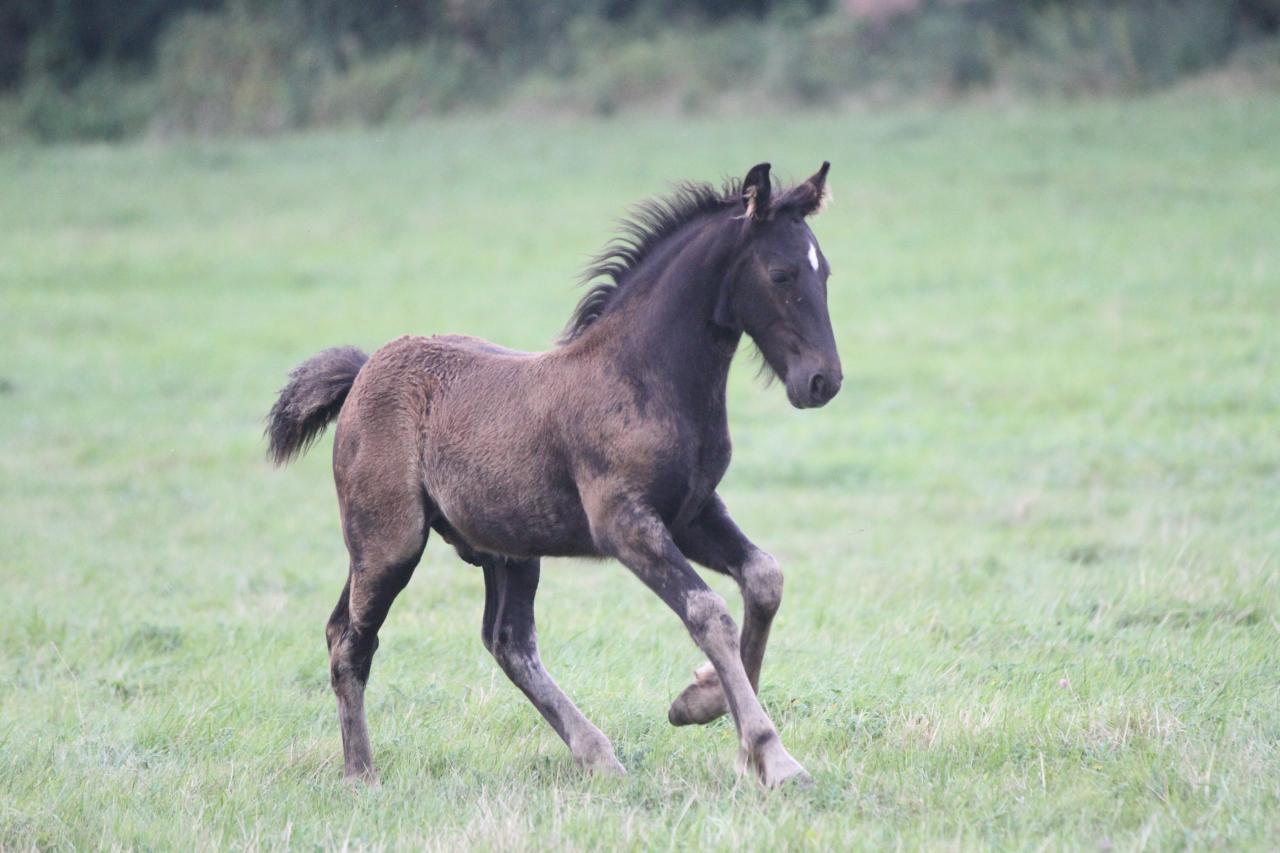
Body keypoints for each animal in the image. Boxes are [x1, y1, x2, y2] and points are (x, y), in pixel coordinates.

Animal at [264, 159, 839, 783]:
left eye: (825, 272)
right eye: (781, 275)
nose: (823, 381)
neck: (643, 375)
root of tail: (365, 369)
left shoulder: (693, 511)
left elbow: (764, 577)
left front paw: (706, 709)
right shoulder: (625, 524)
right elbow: (709, 613)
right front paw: (772, 755)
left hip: (506, 548)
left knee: (507, 641)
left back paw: (598, 754)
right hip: (387, 543)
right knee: (351, 639)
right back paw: (361, 773)